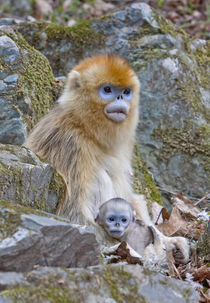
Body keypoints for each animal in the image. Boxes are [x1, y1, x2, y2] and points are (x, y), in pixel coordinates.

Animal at [24, 54, 189, 264]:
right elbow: (73, 214)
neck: (84, 126)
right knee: (102, 177)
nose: (120, 98)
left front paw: (166, 240)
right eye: (108, 90)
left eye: (126, 91)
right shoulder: (72, 143)